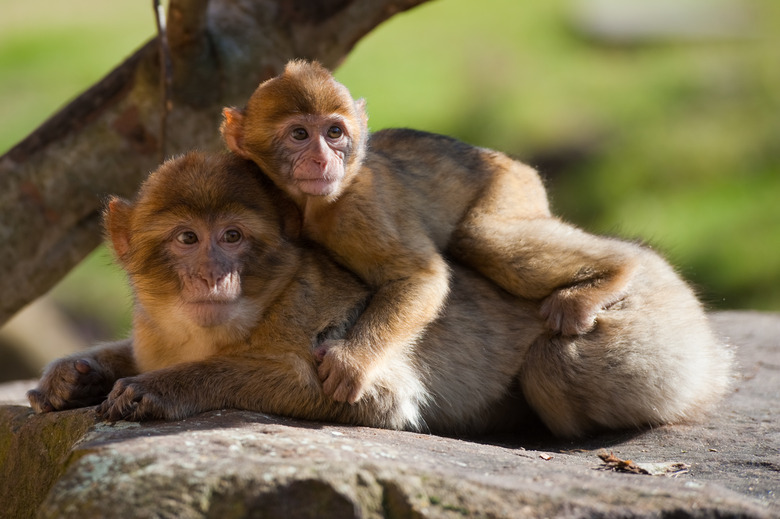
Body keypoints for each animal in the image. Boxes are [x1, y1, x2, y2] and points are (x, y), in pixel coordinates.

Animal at [25, 153, 732, 438]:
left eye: (232, 236)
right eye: (186, 238)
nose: (212, 277)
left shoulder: (319, 332)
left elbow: (368, 395)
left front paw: (167, 388)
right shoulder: (157, 328)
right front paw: (73, 375)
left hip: (649, 332)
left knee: (555, 364)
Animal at [219, 60, 640, 402]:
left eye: (334, 132)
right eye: (300, 135)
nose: (323, 159)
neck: (311, 205)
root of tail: (504, 159)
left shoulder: (360, 208)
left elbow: (421, 275)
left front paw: (353, 361)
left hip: (512, 187)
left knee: (479, 236)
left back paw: (619, 268)